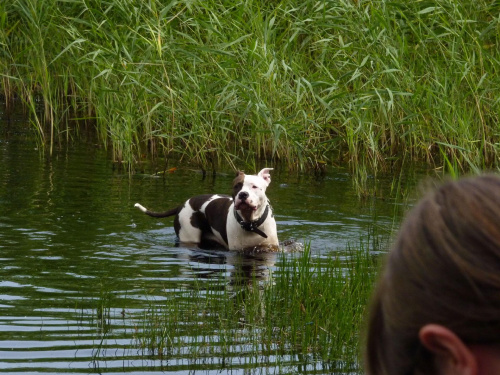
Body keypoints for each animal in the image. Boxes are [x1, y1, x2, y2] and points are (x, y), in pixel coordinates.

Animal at [135, 169, 280, 251]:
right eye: (237, 186)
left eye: (254, 186)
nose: (243, 194)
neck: (251, 223)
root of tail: (182, 204)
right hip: (189, 236)